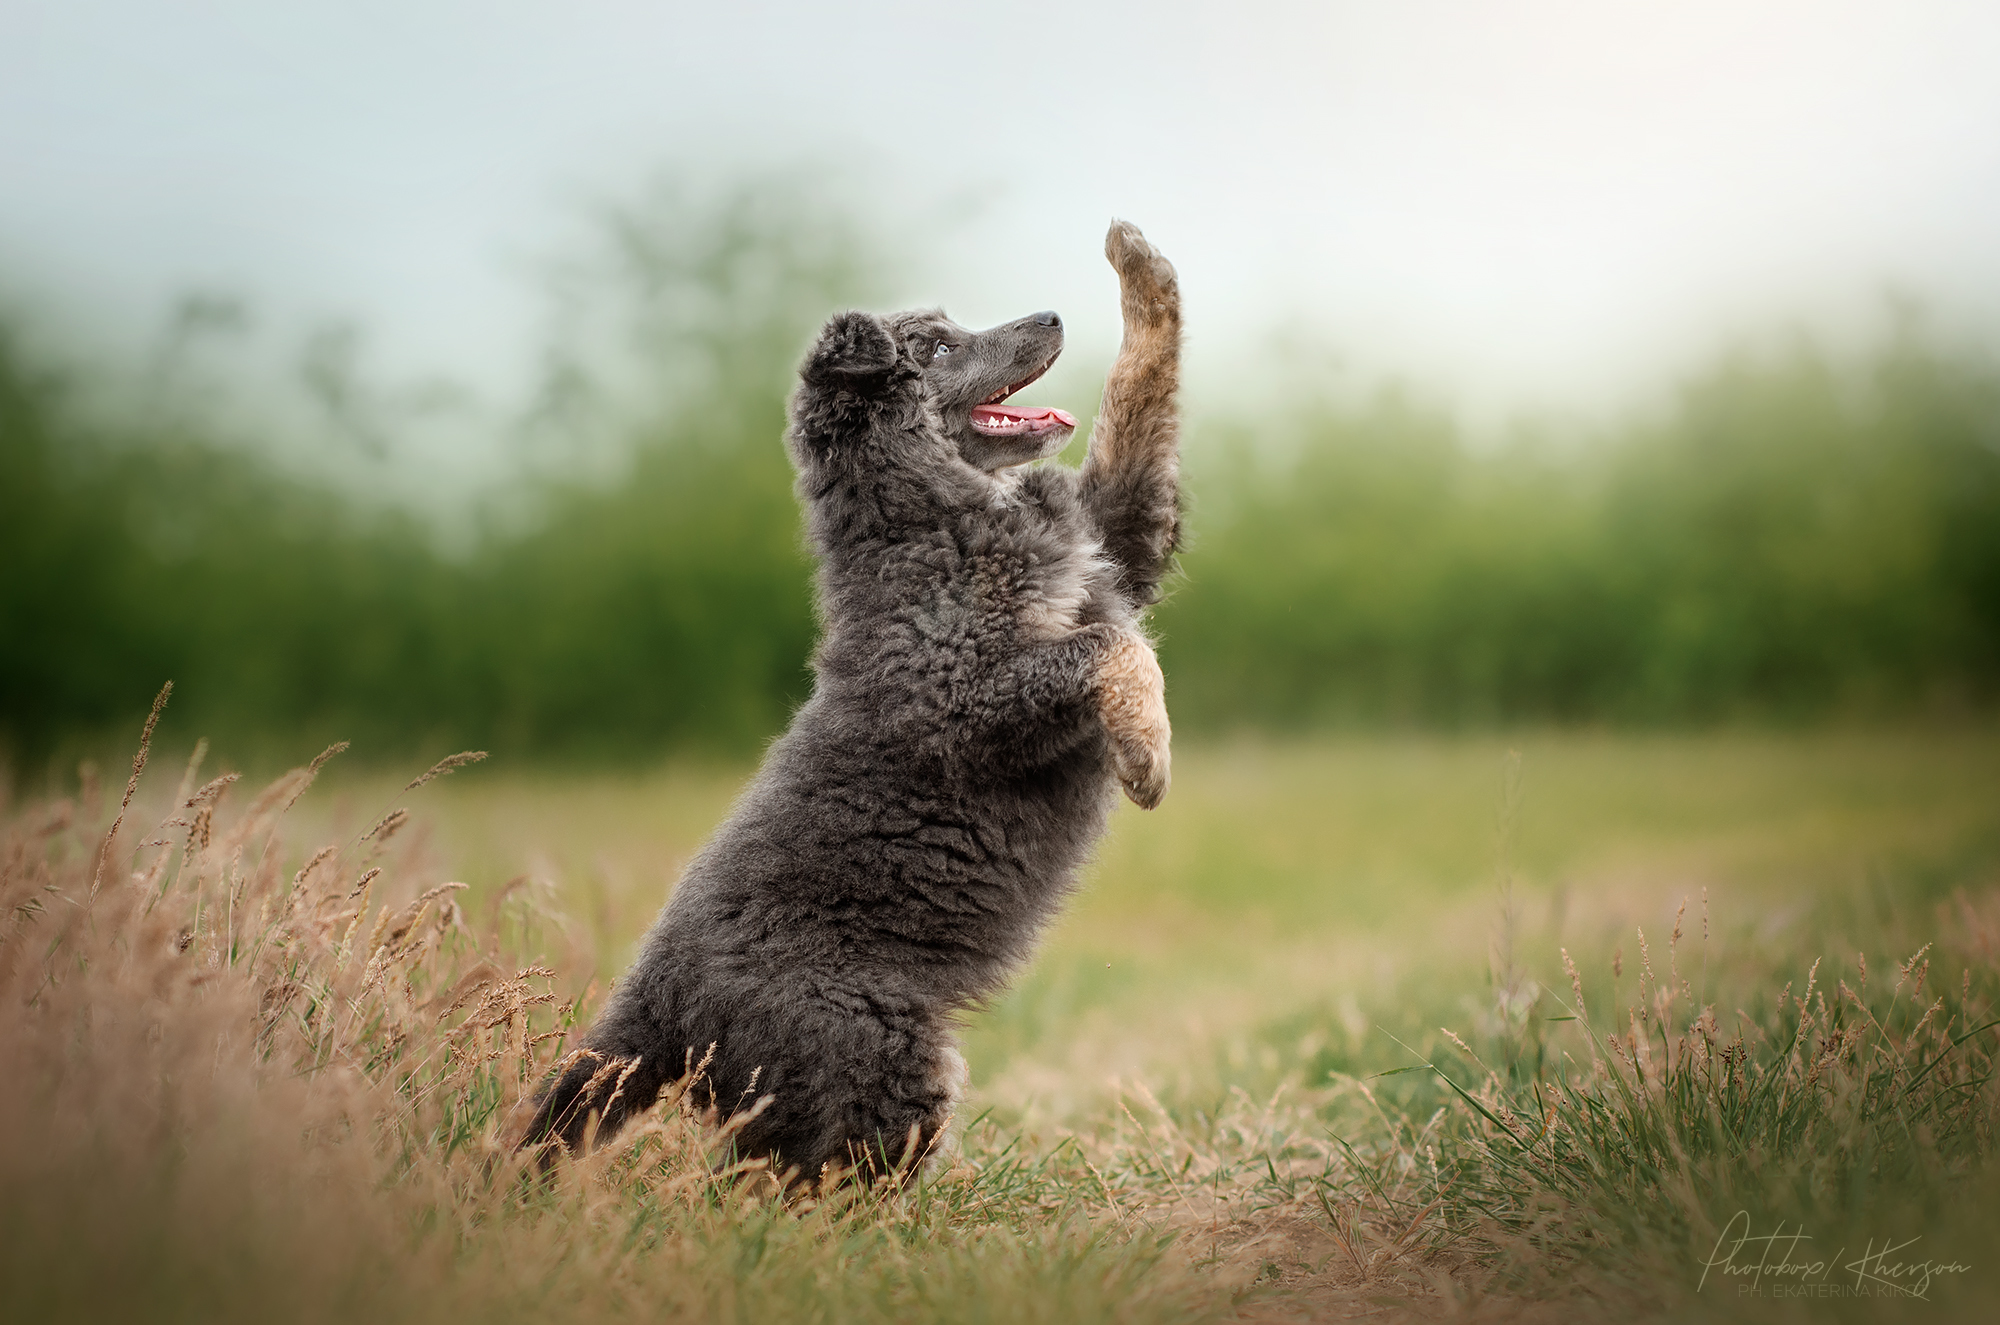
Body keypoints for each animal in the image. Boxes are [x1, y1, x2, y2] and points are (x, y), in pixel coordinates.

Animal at [520, 223, 1184, 1184]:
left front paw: (1141, 265)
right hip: (879, 1055)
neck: (934, 520)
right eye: (937, 347)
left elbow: (1141, 404)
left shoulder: (1116, 546)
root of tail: (657, 1001)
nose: (1053, 315)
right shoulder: (972, 698)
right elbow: (1113, 649)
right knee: (813, 1185)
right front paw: (1148, 754)